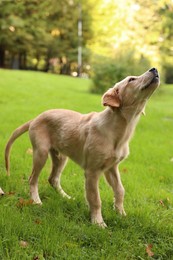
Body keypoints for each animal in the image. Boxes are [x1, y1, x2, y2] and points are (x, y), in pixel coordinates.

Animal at [5, 67, 159, 228]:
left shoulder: (112, 167)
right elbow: (95, 199)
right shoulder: (92, 171)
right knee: (32, 179)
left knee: (53, 179)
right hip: (41, 153)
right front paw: (98, 222)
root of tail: (35, 118)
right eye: (131, 79)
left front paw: (121, 214)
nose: (154, 69)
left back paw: (65, 197)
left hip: (61, 156)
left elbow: (120, 190)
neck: (119, 130)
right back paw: (36, 201)